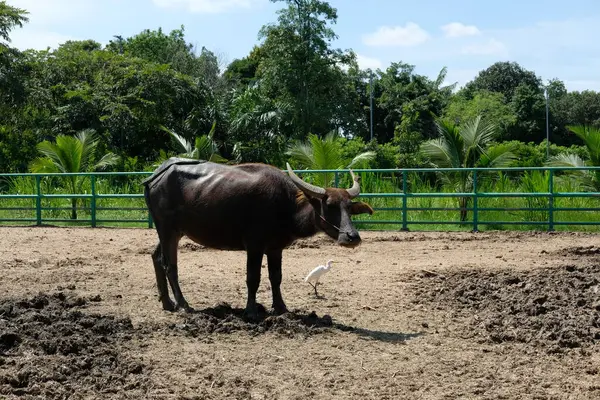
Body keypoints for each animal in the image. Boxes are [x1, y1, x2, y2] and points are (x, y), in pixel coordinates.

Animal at [142, 158, 372, 318]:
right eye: (330, 205)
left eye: (348, 207)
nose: (352, 237)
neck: (285, 205)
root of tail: (157, 175)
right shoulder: (254, 246)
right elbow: (253, 278)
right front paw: (251, 311)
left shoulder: (275, 248)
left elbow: (276, 277)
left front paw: (281, 308)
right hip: (167, 230)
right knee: (169, 265)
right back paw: (183, 304)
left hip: (172, 232)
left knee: (156, 257)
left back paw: (167, 303)